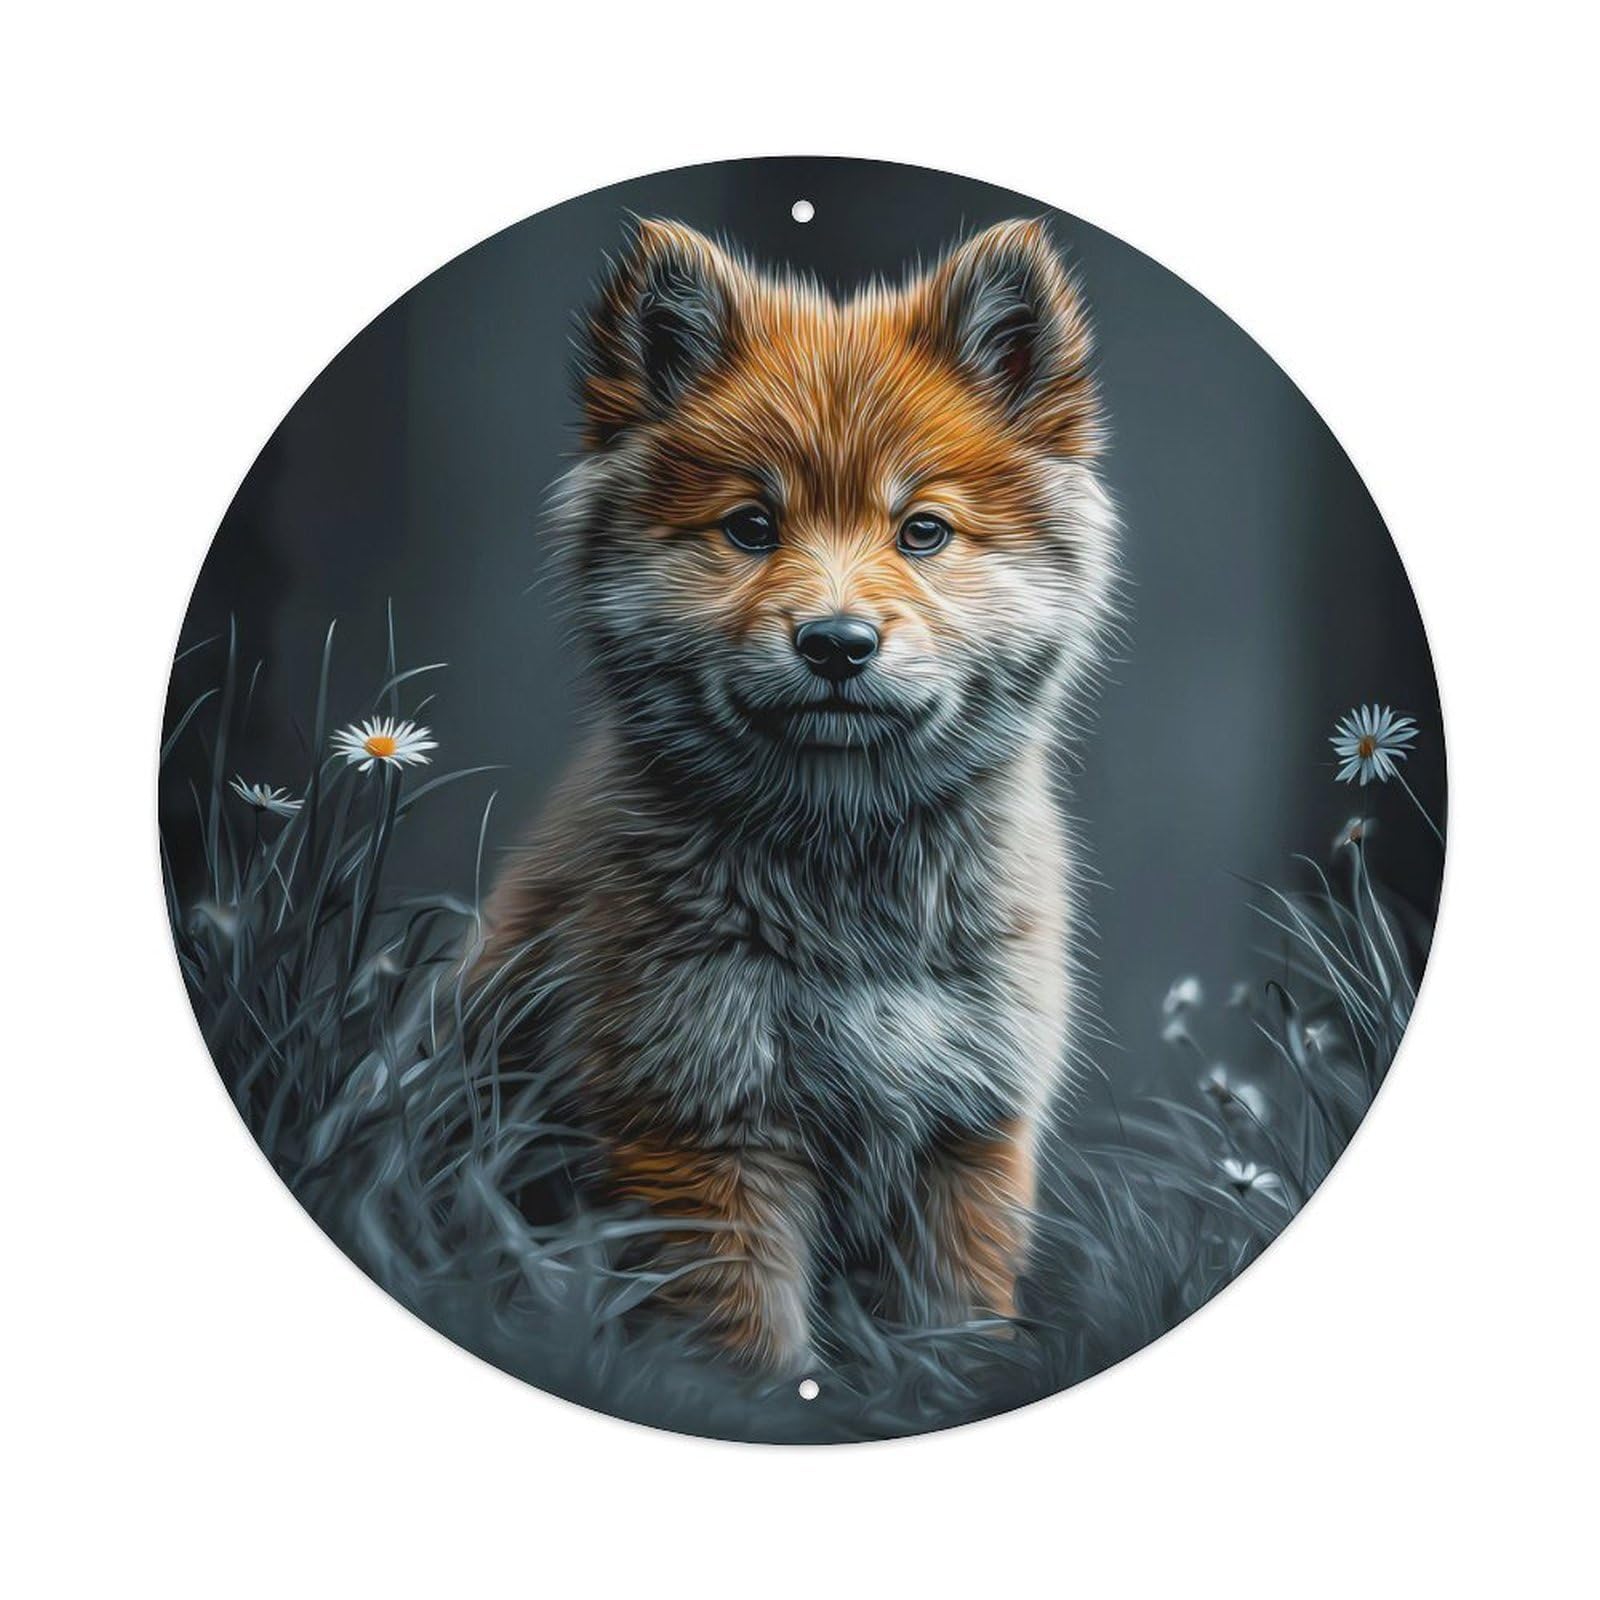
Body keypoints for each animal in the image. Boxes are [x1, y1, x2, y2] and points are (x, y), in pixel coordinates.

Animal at [469, 216, 1119, 1375]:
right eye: (751, 527)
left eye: (922, 531)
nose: (836, 643)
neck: (850, 900)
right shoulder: (699, 1126)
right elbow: (747, 1349)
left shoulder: (969, 1128)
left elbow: (951, 1328)